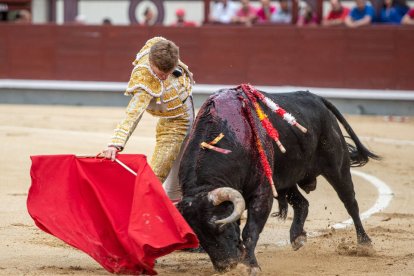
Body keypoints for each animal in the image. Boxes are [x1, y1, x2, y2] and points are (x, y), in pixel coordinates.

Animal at [176, 88, 380, 272]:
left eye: (221, 227)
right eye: (198, 236)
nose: (225, 266)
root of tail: (317, 98)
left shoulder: (262, 192)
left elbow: (250, 230)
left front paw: (250, 265)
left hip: (337, 167)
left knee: (350, 203)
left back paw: (364, 243)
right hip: (284, 179)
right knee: (302, 203)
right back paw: (297, 237)